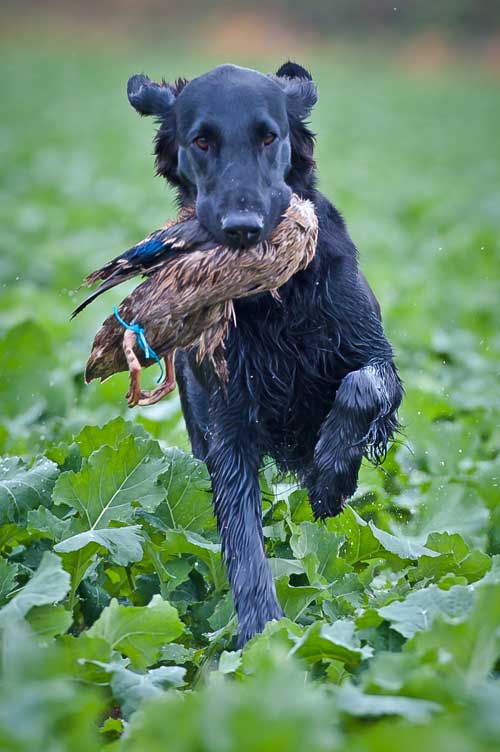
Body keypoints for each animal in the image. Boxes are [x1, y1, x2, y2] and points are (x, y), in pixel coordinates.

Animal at [128, 61, 402, 644]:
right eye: (202, 140)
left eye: (269, 137)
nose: (242, 228)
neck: (272, 299)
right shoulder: (227, 421)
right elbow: (242, 536)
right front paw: (262, 637)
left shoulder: (375, 355)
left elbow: (361, 387)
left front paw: (330, 478)